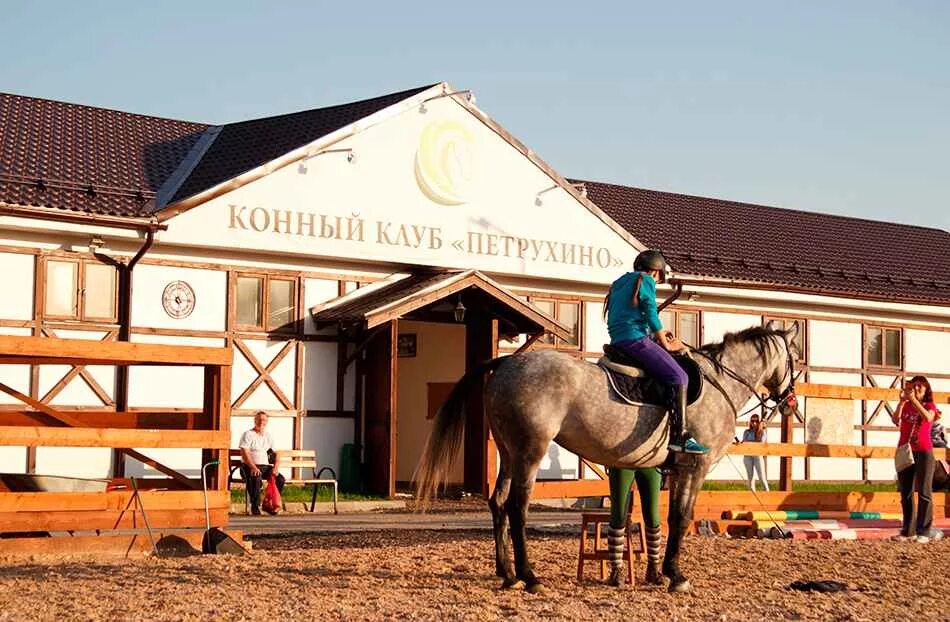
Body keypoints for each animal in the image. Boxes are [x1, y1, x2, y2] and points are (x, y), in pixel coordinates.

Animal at [420, 322, 800, 596]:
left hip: (509, 452)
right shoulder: (695, 468)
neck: (719, 382)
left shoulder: (676, 471)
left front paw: (662, 573)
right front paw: (676, 575)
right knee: (516, 507)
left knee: (498, 503)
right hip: (530, 451)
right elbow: (680, 518)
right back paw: (529, 576)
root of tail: (509, 362)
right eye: (796, 357)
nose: (791, 402)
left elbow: (667, 518)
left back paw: (508, 573)